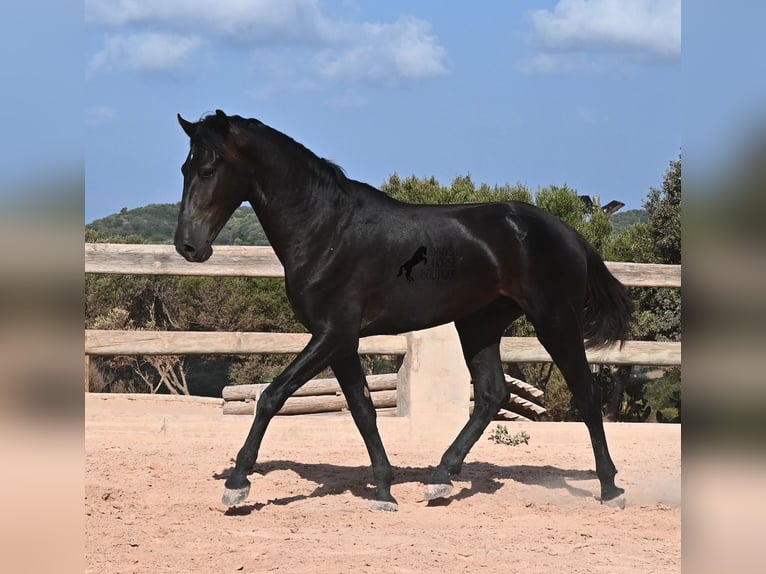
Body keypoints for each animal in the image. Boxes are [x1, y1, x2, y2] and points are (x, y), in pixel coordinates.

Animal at [174, 109, 633, 511]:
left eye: (208, 170)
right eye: (184, 168)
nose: (188, 246)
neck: (326, 231)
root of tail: (569, 233)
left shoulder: (332, 334)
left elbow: (272, 396)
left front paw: (237, 484)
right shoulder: (341, 341)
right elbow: (362, 410)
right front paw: (383, 490)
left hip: (554, 320)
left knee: (586, 395)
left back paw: (611, 488)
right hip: (479, 324)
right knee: (491, 394)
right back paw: (441, 478)